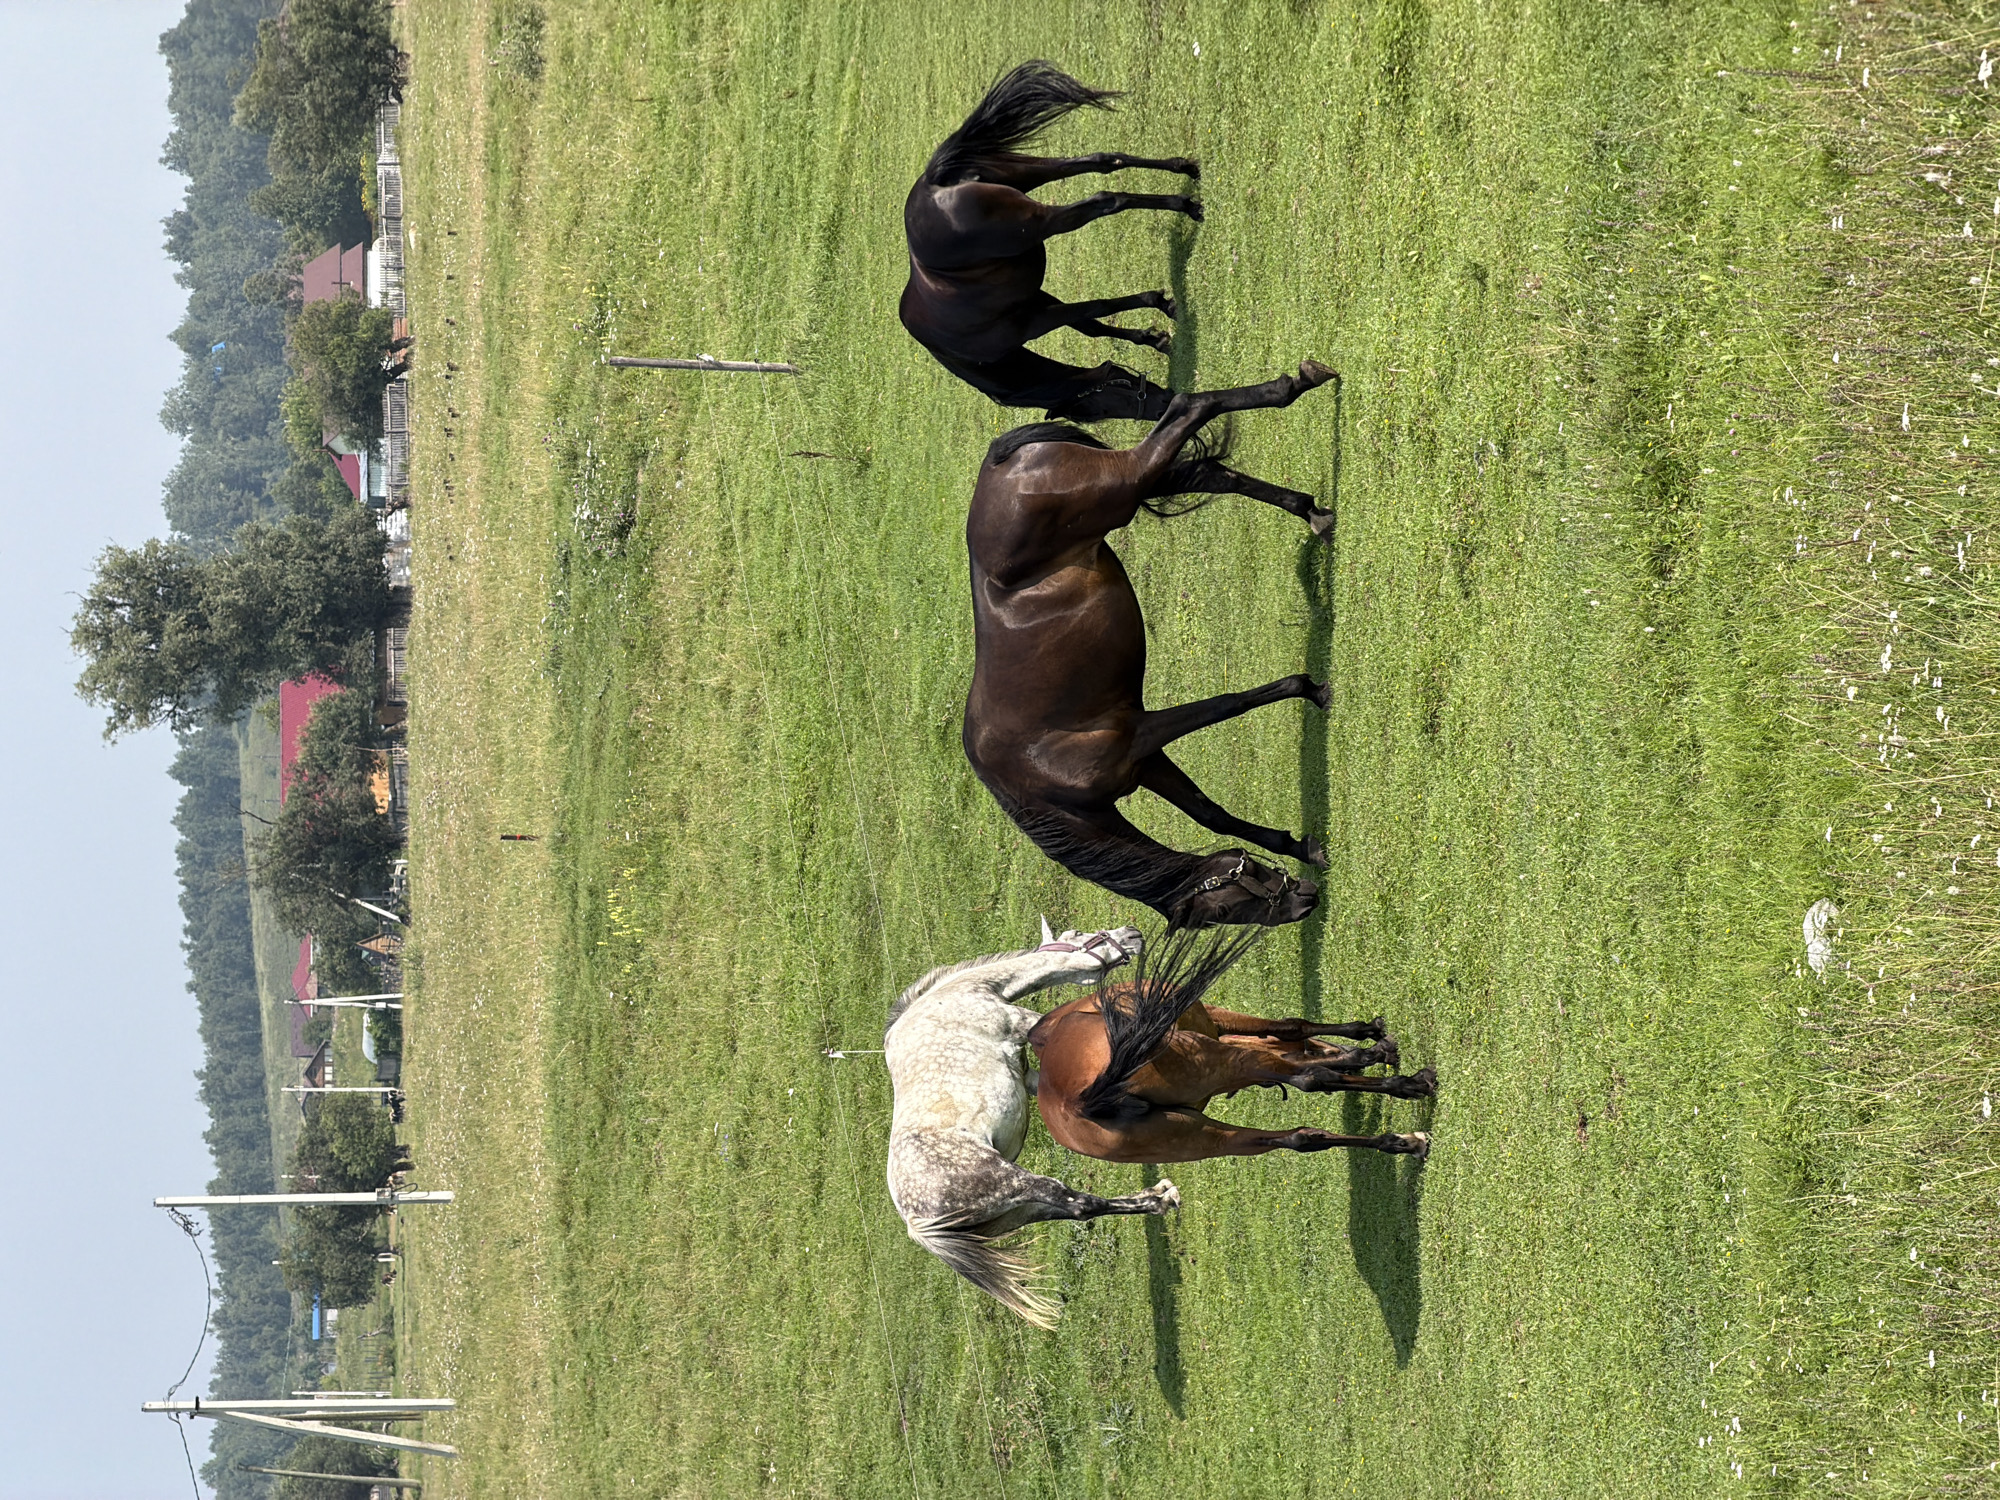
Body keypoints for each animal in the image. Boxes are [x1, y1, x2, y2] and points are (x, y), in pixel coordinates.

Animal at [884, 925, 1177, 1327]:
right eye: (1079, 934)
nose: (1131, 934)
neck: (954, 996)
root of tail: (916, 1223)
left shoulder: (1026, 1076)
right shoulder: (1023, 1023)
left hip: (1017, 1210)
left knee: (1076, 1209)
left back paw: (1154, 1197)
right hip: (1017, 1182)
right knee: (1079, 1202)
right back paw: (1161, 1198)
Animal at [902, 60, 1202, 422]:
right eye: (1102, 409)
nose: (1165, 408)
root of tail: (934, 186)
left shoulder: (1036, 320)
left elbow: (1096, 310)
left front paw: (1163, 312)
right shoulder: (1037, 301)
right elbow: (1092, 324)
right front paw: (1156, 331)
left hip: (1040, 219)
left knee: (1106, 200)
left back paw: (1186, 205)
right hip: (1029, 172)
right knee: (1103, 161)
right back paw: (1185, 170)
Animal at [963, 360, 1341, 931]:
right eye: (1223, 910)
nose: (1302, 903)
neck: (1039, 777)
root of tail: (1001, 455)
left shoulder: (1139, 734)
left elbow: (1228, 704)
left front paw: (1313, 689)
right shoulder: (1145, 764)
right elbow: (1212, 813)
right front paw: (1299, 845)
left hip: (1124, 484)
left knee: (1187, 408)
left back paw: (1295, 385)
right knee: (1212, 473)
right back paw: (1313, 512)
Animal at [1029, 925, 1436, 1163]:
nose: (1131, 933)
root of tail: (1078, 1100)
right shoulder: (1215, 1018)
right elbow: (1294, 1031)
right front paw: (1370, 1040)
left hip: (1196, 1138)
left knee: (1300, 1137)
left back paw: (1402, 1142)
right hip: (1216, 1059)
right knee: (1310, 1082)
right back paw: (1411, 1088)